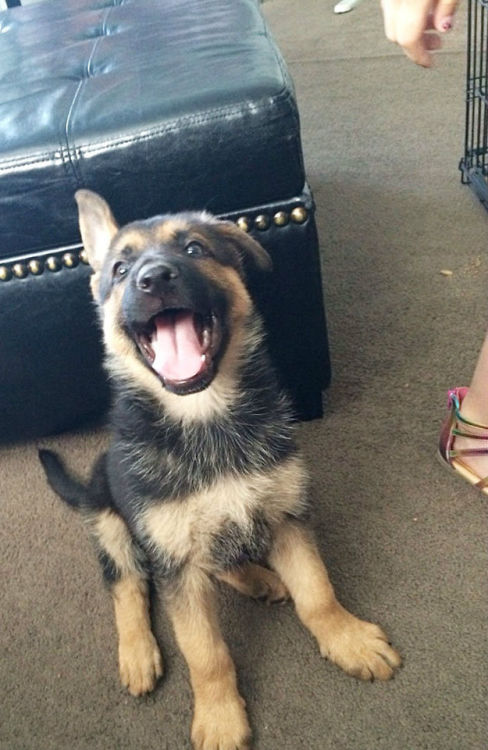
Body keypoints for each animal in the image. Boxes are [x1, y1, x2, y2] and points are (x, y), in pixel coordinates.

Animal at [40, 192, 400, 750]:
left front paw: (348, 639)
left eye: (194, 248)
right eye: (120, 269)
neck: (204, 416)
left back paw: (257, 578)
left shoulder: (287, 516)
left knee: (219, 557)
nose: (154, 278)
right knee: (127, 583)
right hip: (110, 521)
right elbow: (204, 651)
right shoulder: (172, 559)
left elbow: (317, 592)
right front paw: (220, 715)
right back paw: (138, 651)